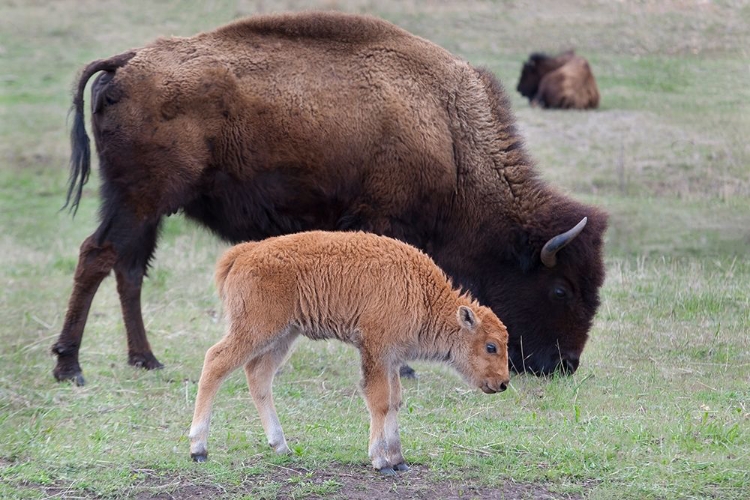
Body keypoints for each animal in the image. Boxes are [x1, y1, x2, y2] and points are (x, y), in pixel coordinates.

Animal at [55, 12, 612, 386]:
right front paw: (404, 368)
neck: (449, 132)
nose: (563, 366)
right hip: (141, 199)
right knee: (98, 256)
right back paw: (71, 367)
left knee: (127, 267)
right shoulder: (385, 223)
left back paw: (145, 360)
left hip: (140, 205)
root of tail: (128, 62)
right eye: (560, 288)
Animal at [191, 230, 516, 472]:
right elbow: (379, 401)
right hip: (255, 331)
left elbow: (395, 401)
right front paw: (381, 462)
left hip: (283, 336)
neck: (423, 295)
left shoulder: (392, 359)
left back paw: (281, 446)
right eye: (491, 346)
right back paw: (198, 449)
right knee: (215, 362)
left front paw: (399, 460)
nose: (503, 383)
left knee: (258, 376)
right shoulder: (375, 351)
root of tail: (244, 253)